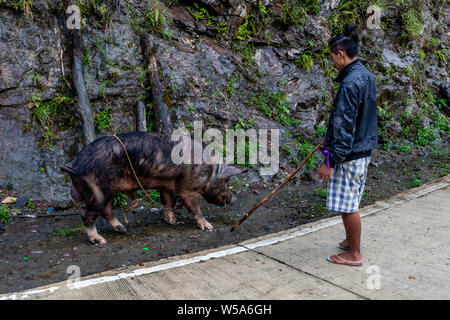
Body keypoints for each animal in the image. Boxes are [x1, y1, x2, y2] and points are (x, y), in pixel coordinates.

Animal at [60, 131, 244, 244]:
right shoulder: (189, 189)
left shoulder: (166, 186)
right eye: (227, 180)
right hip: (98, 190)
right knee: (87, 215)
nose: (234, 198)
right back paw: (101, 240)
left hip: (108, 191)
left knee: (106, 210)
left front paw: (174, 222)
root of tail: (74, 162)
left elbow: (168, 203)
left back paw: (123, 229)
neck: (211, 171)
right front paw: (208, 227)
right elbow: (195, 207)